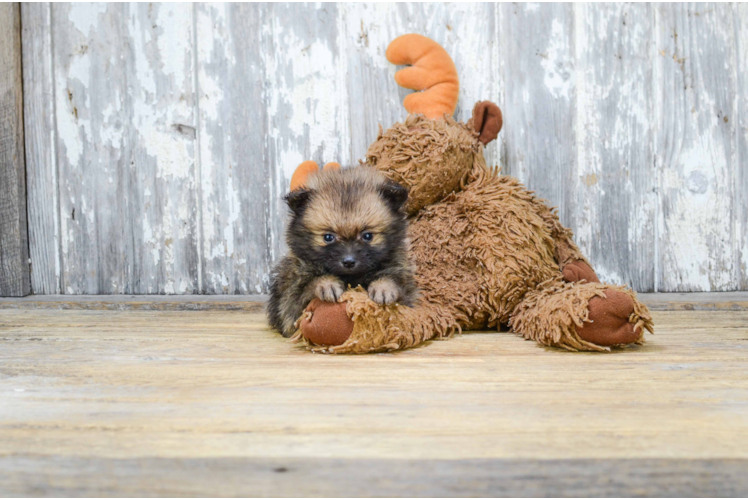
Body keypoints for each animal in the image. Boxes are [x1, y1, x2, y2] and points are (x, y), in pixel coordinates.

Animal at [268, 167, 418, 336]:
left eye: (367, 236)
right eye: (328, 237)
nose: (349, 261)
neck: (351, 278)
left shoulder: (404, 286)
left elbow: (393, 282)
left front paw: (384, 287)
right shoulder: (291, 303)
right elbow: (309, 287)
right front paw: (326, 284)